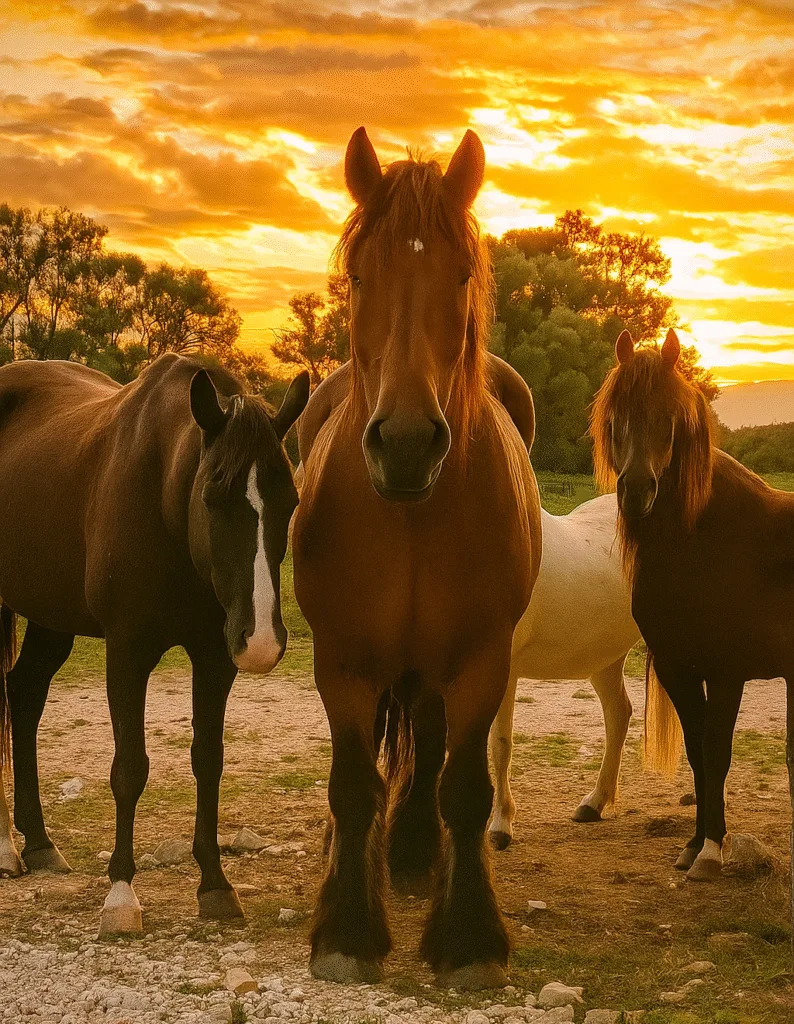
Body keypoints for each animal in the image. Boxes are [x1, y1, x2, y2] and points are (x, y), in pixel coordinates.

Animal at [0, 354, 308, 934]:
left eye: (291, 500)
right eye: (212, 497)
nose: (260, 639)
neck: (162, 497)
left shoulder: (214, 658)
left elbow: (208, 759)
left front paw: (215, 883)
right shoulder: (126, 652)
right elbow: (129, 768)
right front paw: (121, 893)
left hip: (52, 616)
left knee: (24, 696)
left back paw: (38, 843)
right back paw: (7, 847)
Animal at [292, 128, 543, 990]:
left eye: (461, 273)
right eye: (359, 275)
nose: (404, 443)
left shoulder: (480, 661)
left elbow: (463, 789)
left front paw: (468, 938)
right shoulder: (341, 661)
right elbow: (350, 785)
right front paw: (346, 929)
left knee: (429, 750)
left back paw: (410, 852)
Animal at [591, 328, 794, 899]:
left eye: (668, 418)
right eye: (615, 416)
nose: (637, 491)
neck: (705, 540)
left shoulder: (727, 673)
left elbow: (716, 751)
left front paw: (709, 853)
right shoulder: (679, 670)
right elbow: (699, 754)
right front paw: (693, 845)